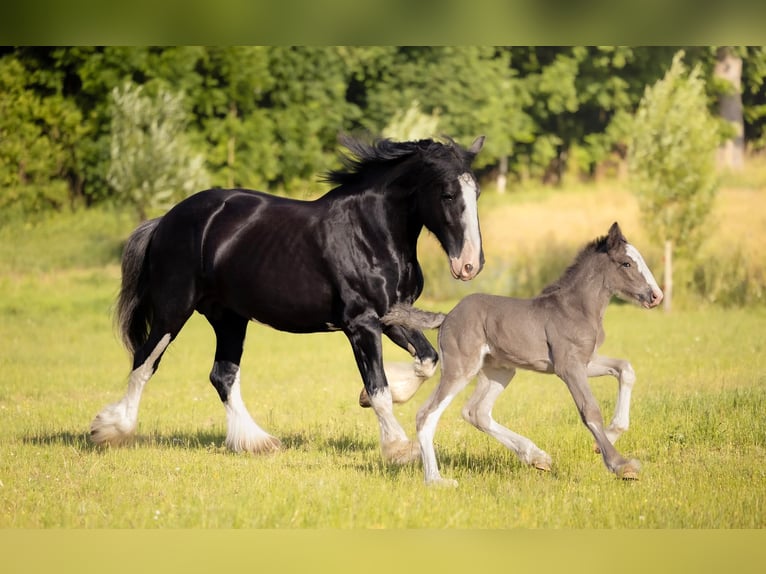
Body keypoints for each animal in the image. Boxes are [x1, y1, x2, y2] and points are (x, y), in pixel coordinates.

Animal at [90, 134, 486, 464]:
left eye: (476, 193)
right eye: (448, 194)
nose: (469, 265)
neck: (369, 232)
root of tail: (165, 220)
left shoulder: (391, 317)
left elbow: (427, 360)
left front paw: (371, 399)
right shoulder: (361, 323)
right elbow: (380, 389)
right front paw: (399, 449)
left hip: (230, 318)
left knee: (222, 376)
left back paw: (256, 443)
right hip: (174, 310)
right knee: (144, 362)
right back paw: (109, 430)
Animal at [382, 222, 663, 485]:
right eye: (626, 263)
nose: (656, 296)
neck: (576, 308)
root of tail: (447, 317)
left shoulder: (586, 361)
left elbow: (625, 369)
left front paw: (613, 432)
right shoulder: (568, 367)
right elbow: (590, 410)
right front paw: (621, 465)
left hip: (500, 371)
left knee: (477, 412)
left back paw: (536, 457)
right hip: (461, 369)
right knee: (427, 414)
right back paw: (436, 480)